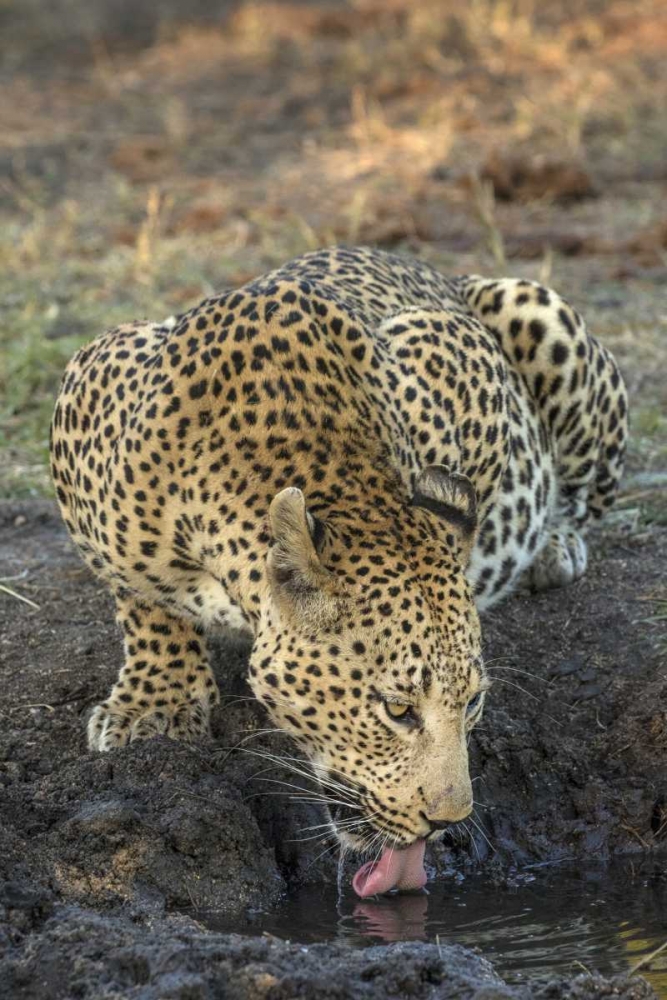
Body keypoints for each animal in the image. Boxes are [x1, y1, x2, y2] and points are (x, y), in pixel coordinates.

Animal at [50, 246, 627, 864]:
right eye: (397, 710)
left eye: (473, 703)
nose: (448, 821)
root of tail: (447, 272)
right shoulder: (90, 377)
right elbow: (140, 592)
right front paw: (155, 701)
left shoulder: (456, 348)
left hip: (544, 319)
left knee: (586, 495)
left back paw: (554, 546)